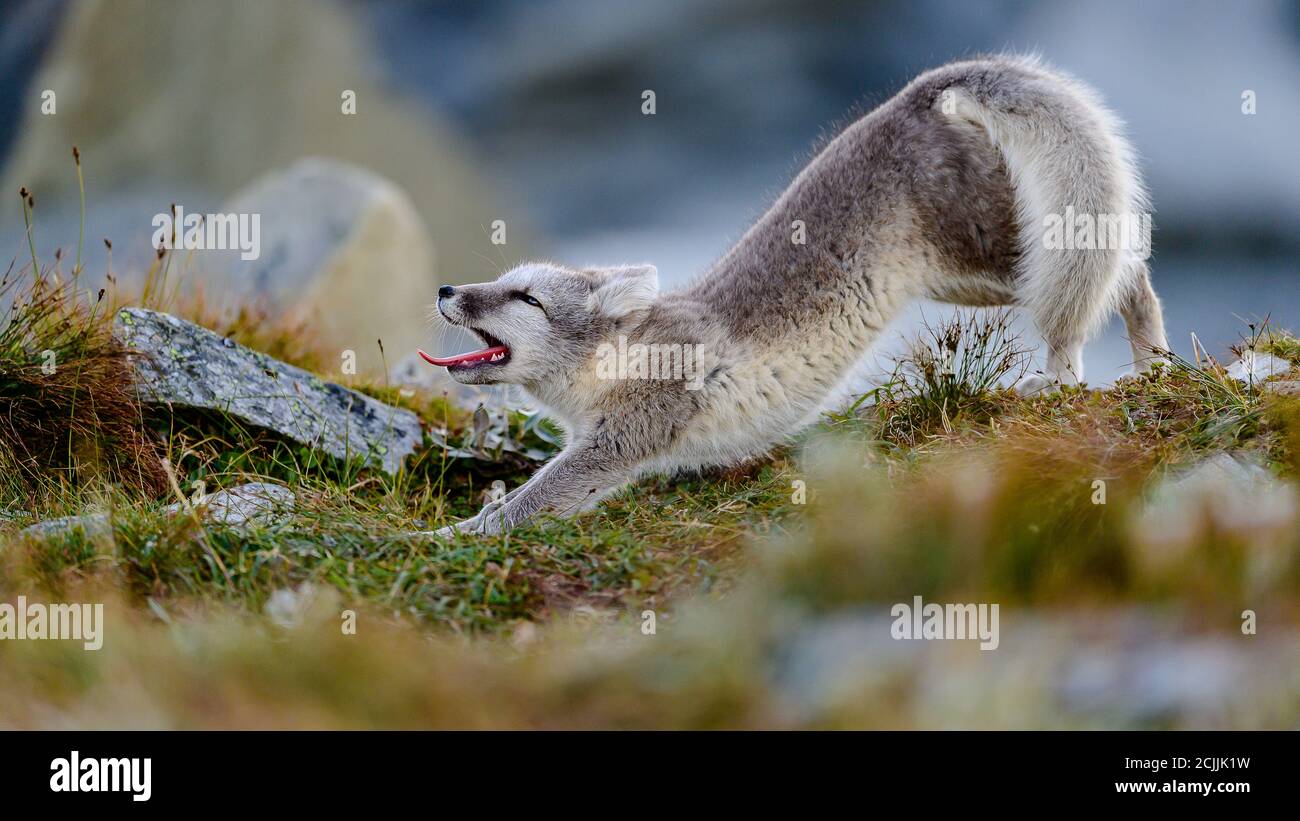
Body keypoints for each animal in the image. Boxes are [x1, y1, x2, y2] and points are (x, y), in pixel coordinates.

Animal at [423, 55, 1169, 536]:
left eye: (526, 298)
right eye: (504, 283)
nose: (446, 289)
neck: (614, 363)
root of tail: (918, 92)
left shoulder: (621, 440)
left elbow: (527, 504)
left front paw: (440, 538)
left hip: (994, 260)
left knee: (1110, 273)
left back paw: (1080, 372)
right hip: (967, 276)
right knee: (1121, 264)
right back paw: (1154, 366)